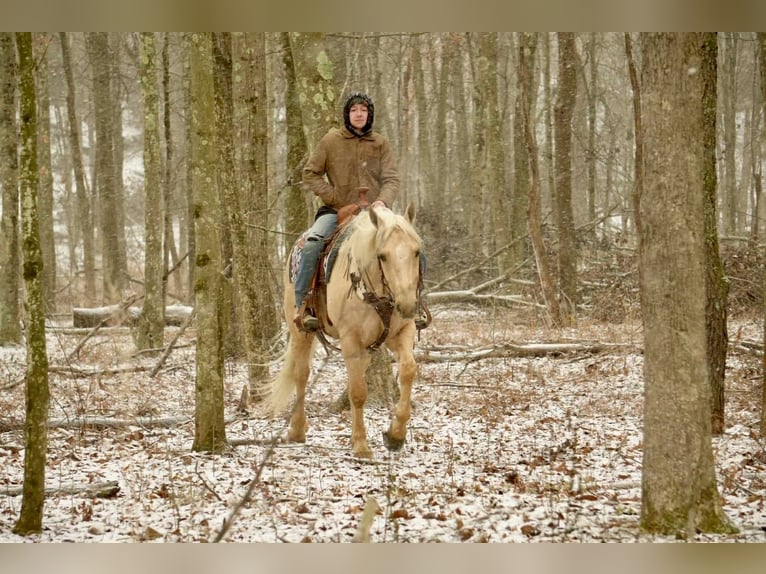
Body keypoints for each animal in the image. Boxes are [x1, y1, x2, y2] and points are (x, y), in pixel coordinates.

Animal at [264, 203, 423, 459]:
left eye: (416, 252)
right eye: (382, 255)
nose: (407, 305)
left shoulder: (401, 333)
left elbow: (408, 370)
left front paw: (395, 435)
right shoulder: (350, 340)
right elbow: (358, 392)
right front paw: (361, 445)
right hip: (300, 331)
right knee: (301, 374)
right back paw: (297, 429)